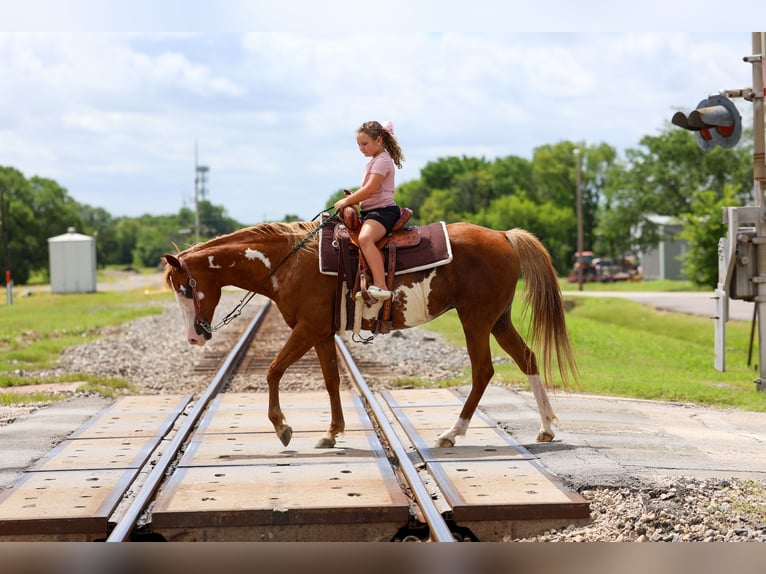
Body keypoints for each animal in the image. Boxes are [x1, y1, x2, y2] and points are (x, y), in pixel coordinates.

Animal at [163, 218, 578, 449]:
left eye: (184, 288)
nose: (194, 338)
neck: (290, 261)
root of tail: (504, 236)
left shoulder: (307, 328)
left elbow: (273, 369)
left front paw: (282, 427)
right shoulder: (321, 332)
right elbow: (331, 379)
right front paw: (332, 432)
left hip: (475, 319)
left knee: (483, 370)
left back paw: (451, 433)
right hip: (497, 319)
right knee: (527, 358)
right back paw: (545, 428)